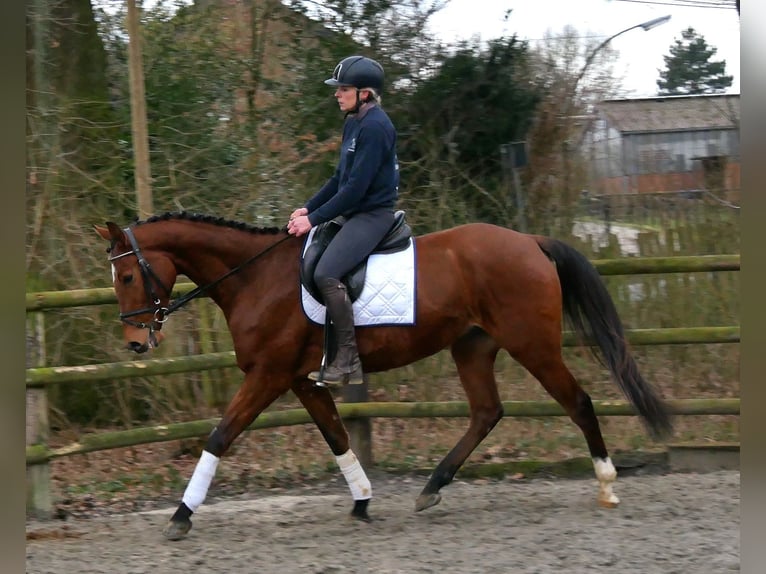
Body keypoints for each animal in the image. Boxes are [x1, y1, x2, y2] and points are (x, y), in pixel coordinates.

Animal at [94, 210, 672, 540]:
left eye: (127, 276)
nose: (136, 342)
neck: (256, 277)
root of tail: (529, 241)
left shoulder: (269, 375)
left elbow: (219, 436)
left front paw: (181, 515)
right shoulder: (301, 380)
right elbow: (337, 436)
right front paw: (362, 501)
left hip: (532, 344)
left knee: (578, 403)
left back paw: (607, 485)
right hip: (472, 347)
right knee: (486, 412)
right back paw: (432, 488)